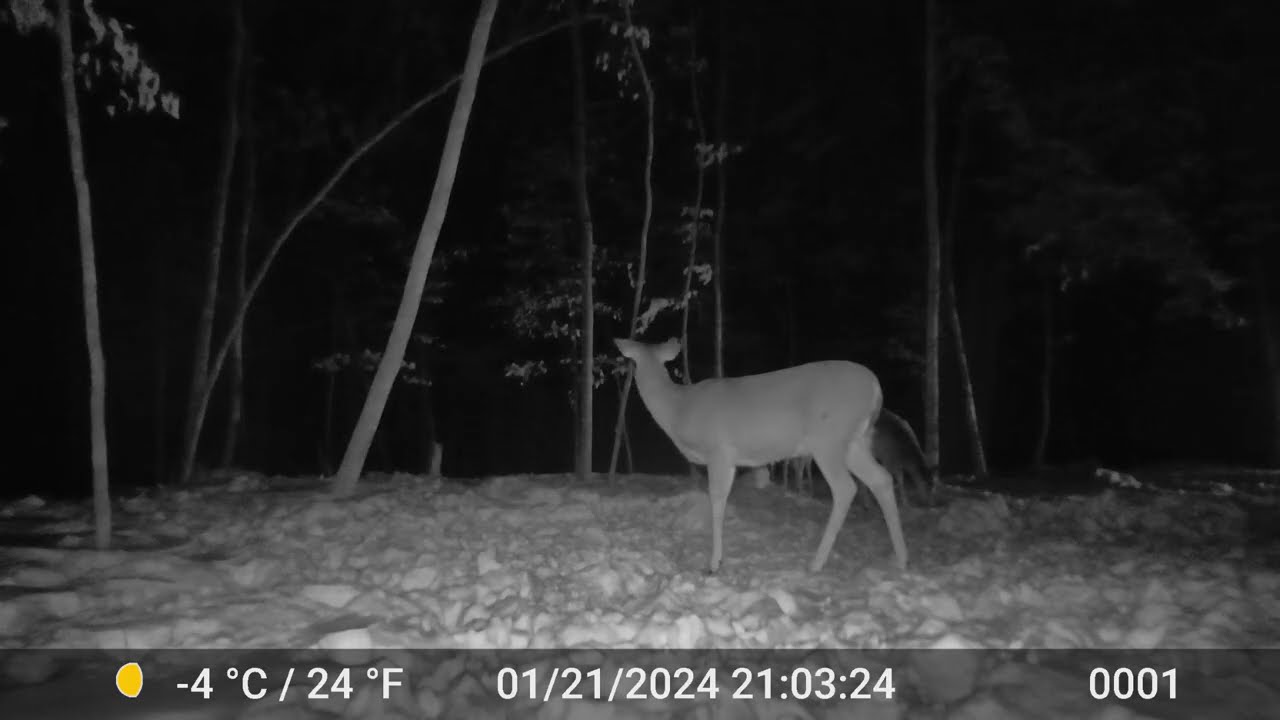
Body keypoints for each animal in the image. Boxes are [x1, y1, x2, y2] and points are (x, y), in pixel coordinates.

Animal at [615, 337, 909, 574]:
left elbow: (717, 501)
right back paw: (901, 558)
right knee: (881, 479)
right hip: (855, 442)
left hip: (829, 439)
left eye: (633, 362)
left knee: (846, 488)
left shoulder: (719, 451)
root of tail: (876, 388)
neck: (679, 408)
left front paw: (714, 562)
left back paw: (816, 563)